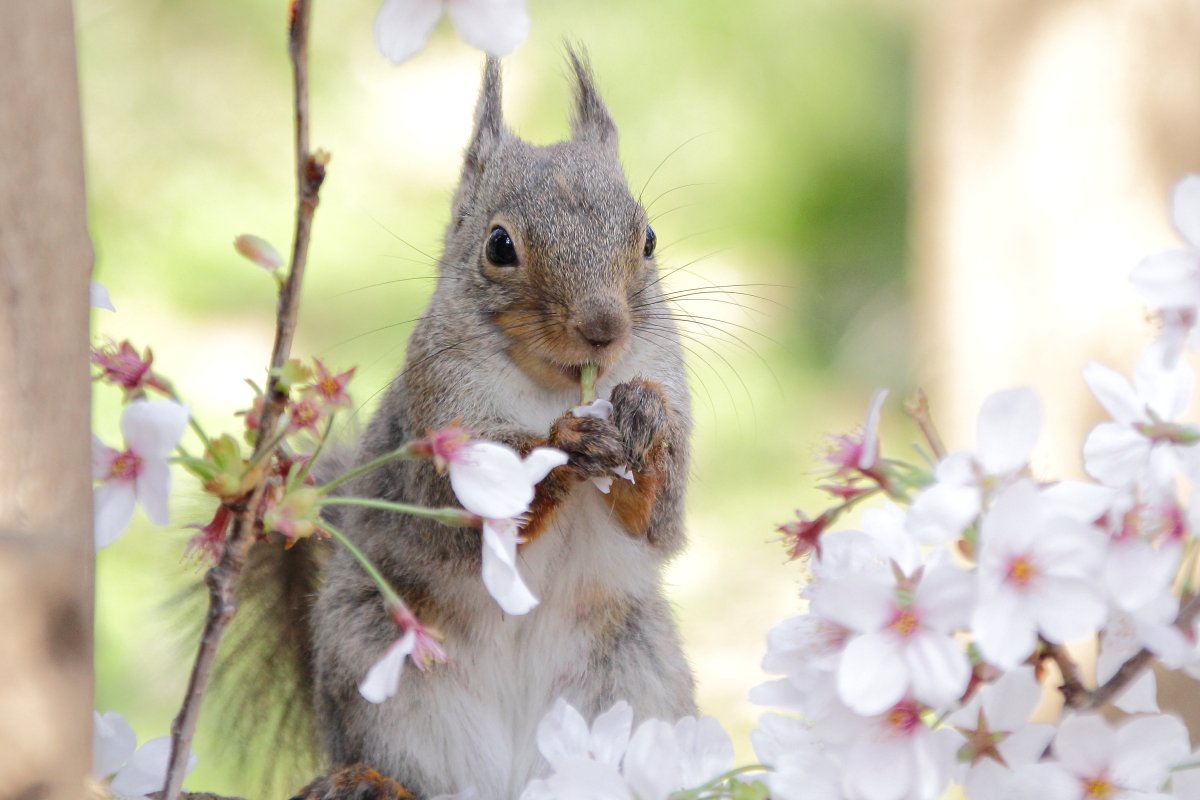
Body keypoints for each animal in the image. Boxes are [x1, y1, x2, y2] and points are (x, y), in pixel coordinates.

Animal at [262, 51, 696, 800]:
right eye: (499, 245)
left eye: (648, 239)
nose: (604, 327)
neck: (551, 388)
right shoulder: (433, 420)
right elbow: (459, 521)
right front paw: (563, 444)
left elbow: (660, 523)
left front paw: (644, 416)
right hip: (371, 659)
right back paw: (371, 781)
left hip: (637, 668)